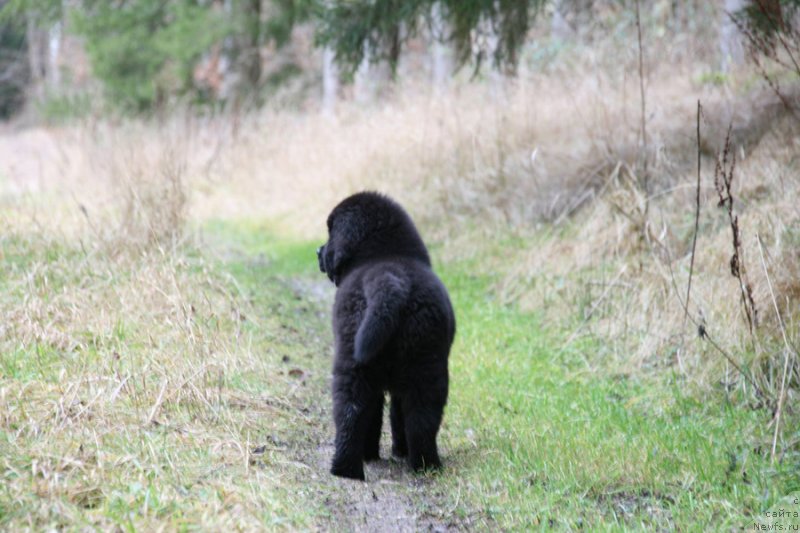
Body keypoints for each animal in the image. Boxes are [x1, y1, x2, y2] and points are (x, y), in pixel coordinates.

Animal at [318, 192, 456, 482]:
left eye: (330, 232)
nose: (318, 251)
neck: (386, 251)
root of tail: (389, 281)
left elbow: (379, 415)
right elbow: (393, 415)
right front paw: (394, 452)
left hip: (359, 365)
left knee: (352, 411)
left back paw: (347, 469)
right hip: (425, 367)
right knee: (420, 418)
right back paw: (423, 465)